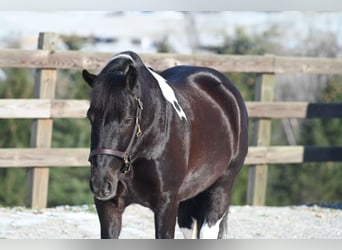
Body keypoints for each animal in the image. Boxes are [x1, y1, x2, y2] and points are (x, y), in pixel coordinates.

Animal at [83, 50, 248, 238]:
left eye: (127, 119)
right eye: (90, 117)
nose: (101, 183)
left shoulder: (166, 203)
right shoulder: (109, 206)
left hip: (221, 187)